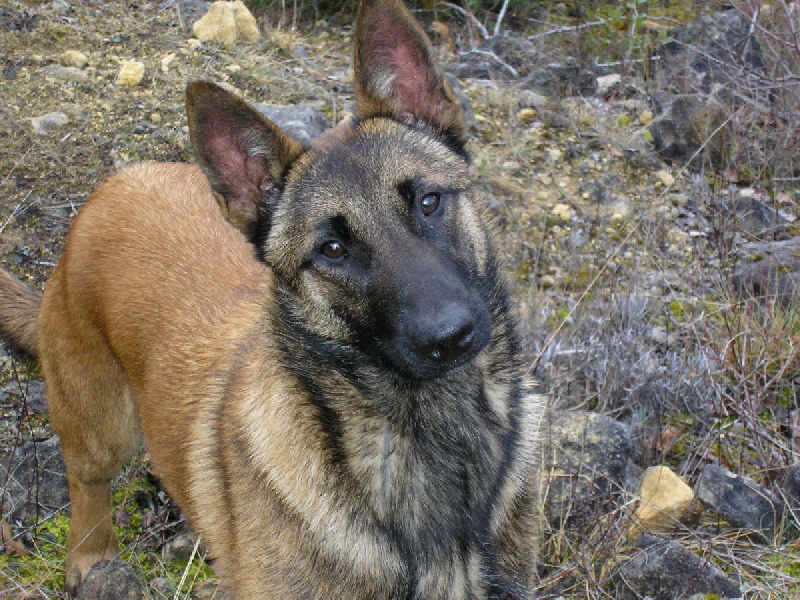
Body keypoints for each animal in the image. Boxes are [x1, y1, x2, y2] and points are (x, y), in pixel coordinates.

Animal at [0, 0, 544, 596]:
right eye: (332, 249)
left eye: (429, 201)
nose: (450, 336)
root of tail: (114, 183)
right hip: (100, 422)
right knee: (86, 480)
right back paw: (91, 556)